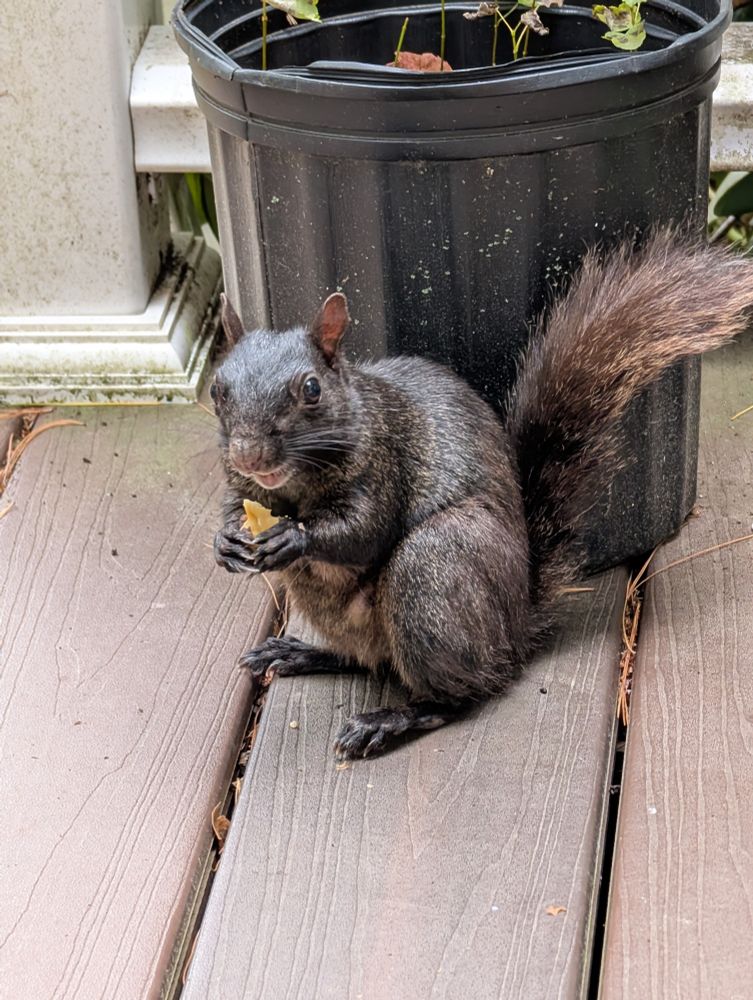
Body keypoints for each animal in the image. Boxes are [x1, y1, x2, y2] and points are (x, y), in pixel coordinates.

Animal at [210, 231, 753, 759]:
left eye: (311, 389)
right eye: (218, 388)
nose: (249, 455)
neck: (294, 486)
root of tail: (514, 626)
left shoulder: (386, 463)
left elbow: (364, 530)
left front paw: (292, 537)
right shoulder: (245, 486)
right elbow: (234, 506)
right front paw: (227, 541)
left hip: (434, 568)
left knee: (463, 692)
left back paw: (390, 720)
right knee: (365, 659)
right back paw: (300, 651)